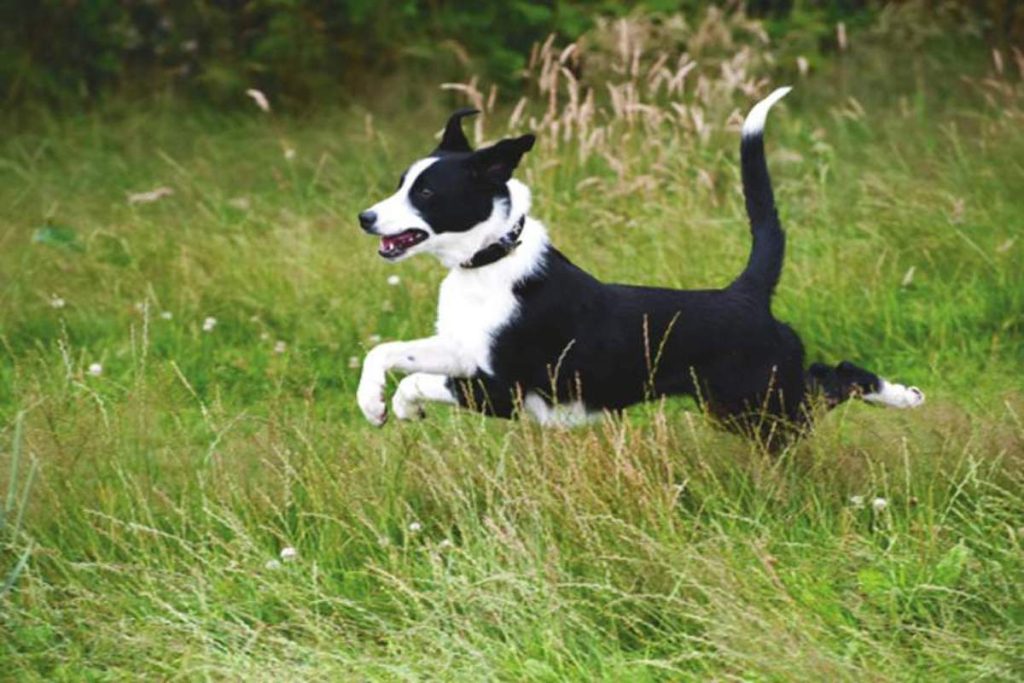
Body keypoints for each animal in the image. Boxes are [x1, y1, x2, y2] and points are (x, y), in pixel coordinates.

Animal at [356, 85, 925, 446]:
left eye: (427, 193)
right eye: (402, 182)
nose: (366, 218)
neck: (489, 262)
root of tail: (745, 294)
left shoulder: (505, 391)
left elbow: (416, 380)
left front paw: (402, 407)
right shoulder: (462, 350)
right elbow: (387, 353)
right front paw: (374, 407)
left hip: (764, 404)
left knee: (837, 376)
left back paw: (903, 396)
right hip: (741, 410)